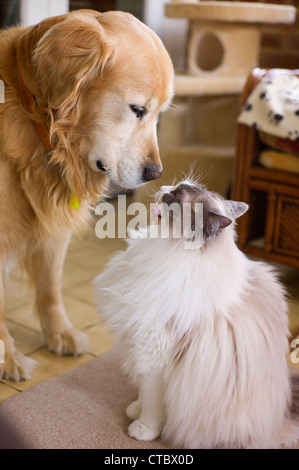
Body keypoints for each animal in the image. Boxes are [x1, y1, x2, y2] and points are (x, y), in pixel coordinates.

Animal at [0, 9, 173, 380]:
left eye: (159, 114)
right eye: (137, 109)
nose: (155, 173)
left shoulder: (53, 230)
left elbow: (50, 286)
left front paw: (59, 332)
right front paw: (7, 356)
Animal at [94, 180, 299, 448]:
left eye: (177, 195)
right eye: (178, 185)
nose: (164, 186)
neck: (165, 249)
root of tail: (281, 419)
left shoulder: (154, 358)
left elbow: (151, 402)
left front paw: (142, 429)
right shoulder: (139, 348)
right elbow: (142, 393)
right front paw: (134, 409)